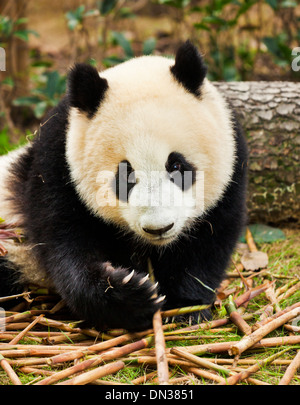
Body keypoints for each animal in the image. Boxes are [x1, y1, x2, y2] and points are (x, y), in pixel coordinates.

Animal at [0, 41, 248, 332]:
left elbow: (210, 241)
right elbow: (63, 247)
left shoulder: (232, 170)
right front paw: (133, 295)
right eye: (125, 174)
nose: (159, 228)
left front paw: (186, 308)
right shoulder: (57, 170)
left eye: (176, 165)